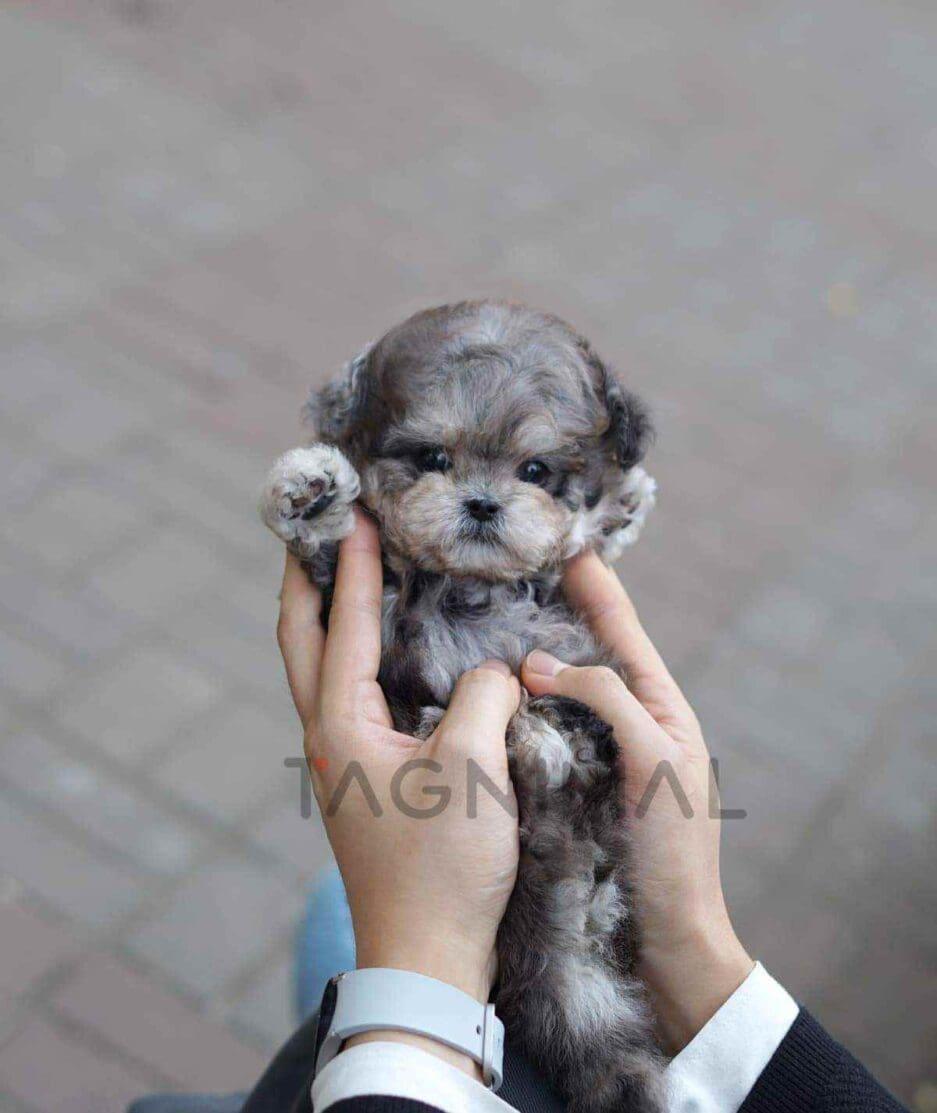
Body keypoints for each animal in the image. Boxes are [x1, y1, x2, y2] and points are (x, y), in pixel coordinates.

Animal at [259, 300, 658, 1108]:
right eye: (431, 459)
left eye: (535, 471)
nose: (481, 502)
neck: (463, 581)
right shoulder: (372, 608)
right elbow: (328, 547)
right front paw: (312, 490)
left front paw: (622, 502)